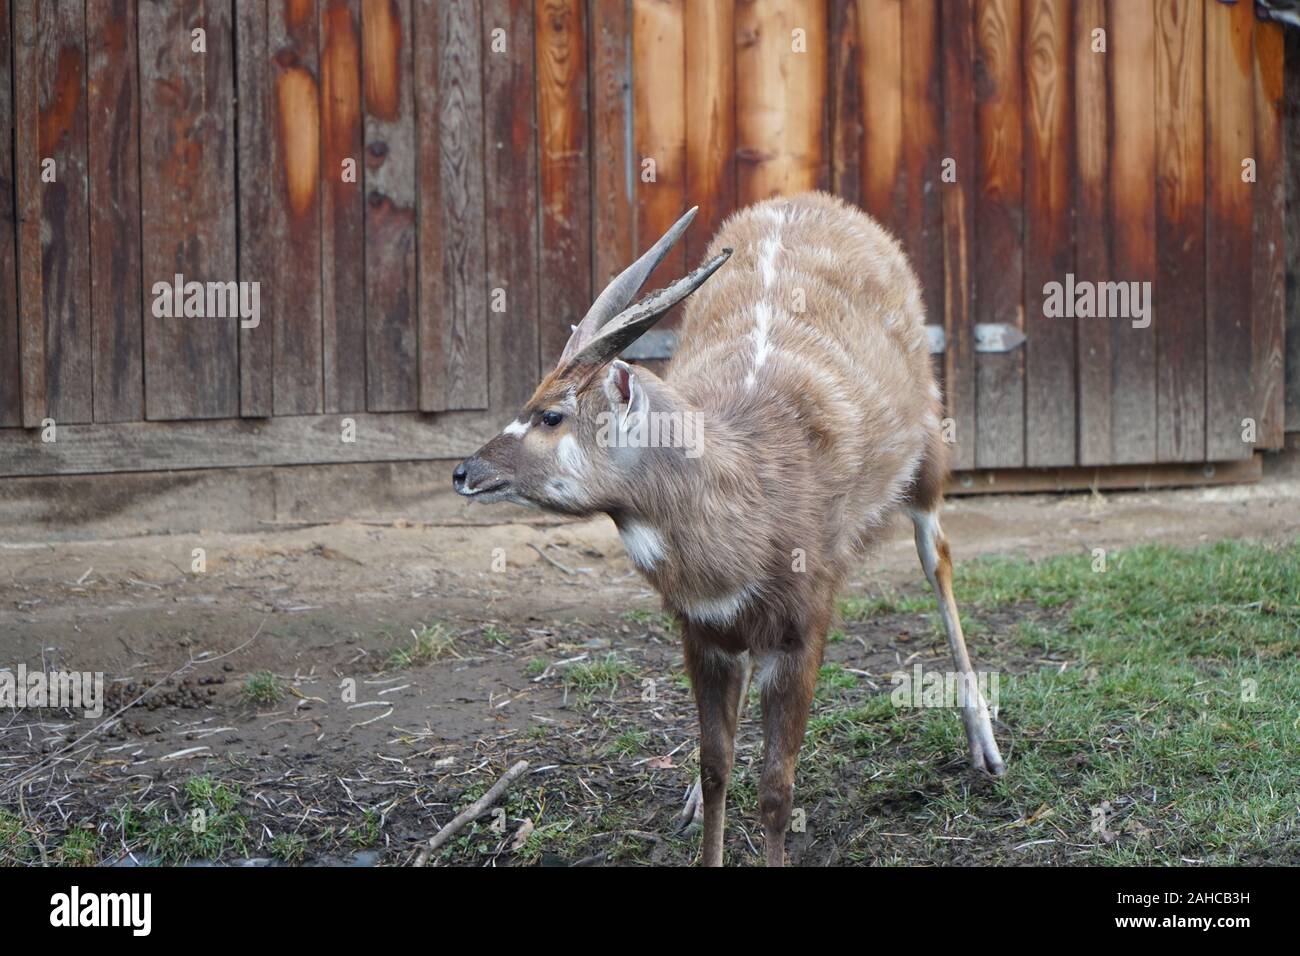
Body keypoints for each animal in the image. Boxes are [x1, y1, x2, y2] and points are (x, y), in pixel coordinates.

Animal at [454, 192, 1003, 868]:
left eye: (552, 415)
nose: (464, 472)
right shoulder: (705, 634)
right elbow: (716, 767)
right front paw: (698, 802)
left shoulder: (802, 629)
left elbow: (775, 790)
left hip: (928, 452)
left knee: (938, 555)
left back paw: (985, 747)